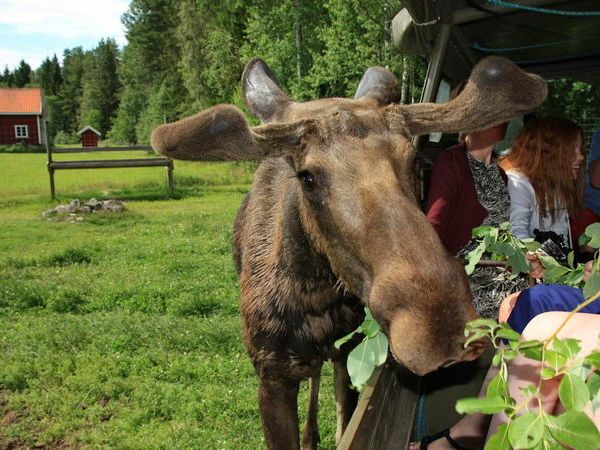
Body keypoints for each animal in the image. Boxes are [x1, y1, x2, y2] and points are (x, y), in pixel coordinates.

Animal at [152, 57, 548, 450]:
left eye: (413, 161)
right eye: (307, 176)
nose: (438, 328)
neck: (317, 298)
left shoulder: (349, 351)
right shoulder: (271, 375)